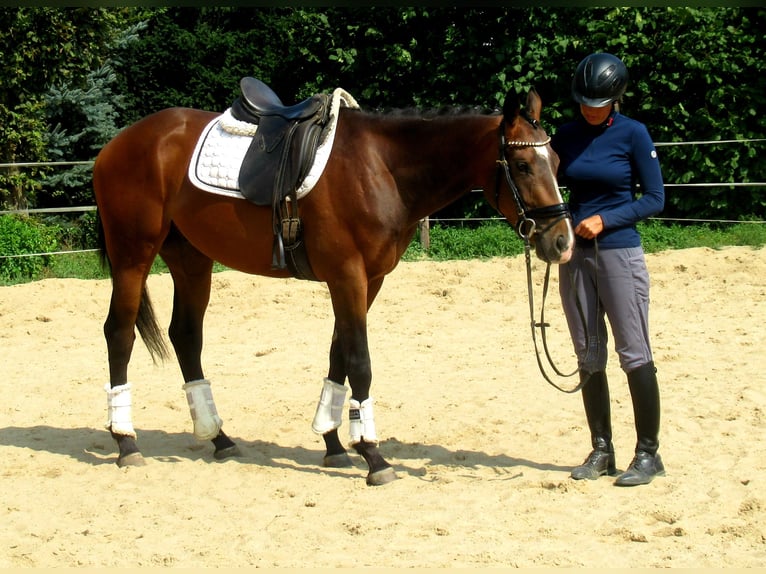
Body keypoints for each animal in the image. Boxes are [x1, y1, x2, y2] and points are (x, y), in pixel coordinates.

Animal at [93, 82, 576, 486]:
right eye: (522, 165)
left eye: (554, 162)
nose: (562, 242)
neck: (382, 167)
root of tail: (119, 143)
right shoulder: (347, 276)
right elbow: (359, 361)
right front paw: (373, 456)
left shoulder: (370, 280)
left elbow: (339, 354)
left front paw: (334, 443)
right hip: (133, 254)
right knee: (119, 333)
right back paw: (125, 440)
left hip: (191, 260)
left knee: (186, 337)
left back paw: (219, 438)